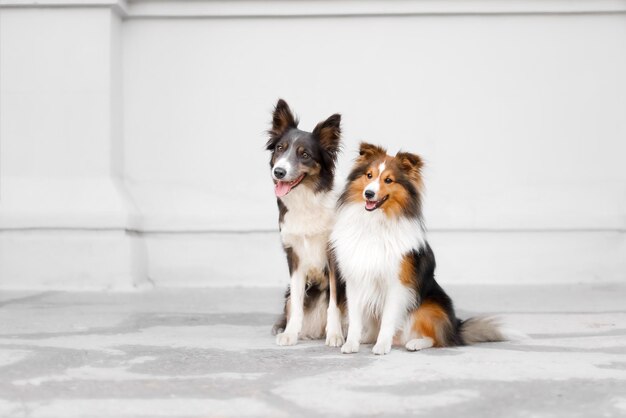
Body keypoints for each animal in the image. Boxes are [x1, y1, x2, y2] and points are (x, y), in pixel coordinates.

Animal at [266, 99, 346, 346]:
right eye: (280, 149)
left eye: (305, 155)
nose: (279, 172)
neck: (305, 199)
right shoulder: (295, 255)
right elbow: (297, 301)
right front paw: (291, 333)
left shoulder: (333, 255)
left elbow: (334, 302)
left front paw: (335, 334)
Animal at [330, 144, 504, 356]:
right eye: (369, 175)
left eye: (388, 180)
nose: (368, 194)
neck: (375, 224)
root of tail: (456, 329)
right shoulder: (355, 280)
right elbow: (355, 318)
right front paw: (351, 344)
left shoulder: (397, 284)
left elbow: (388, 318)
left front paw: (382, 345)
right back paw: (368, 338)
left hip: (428, 306)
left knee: (436, 339)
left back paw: (415, 343)